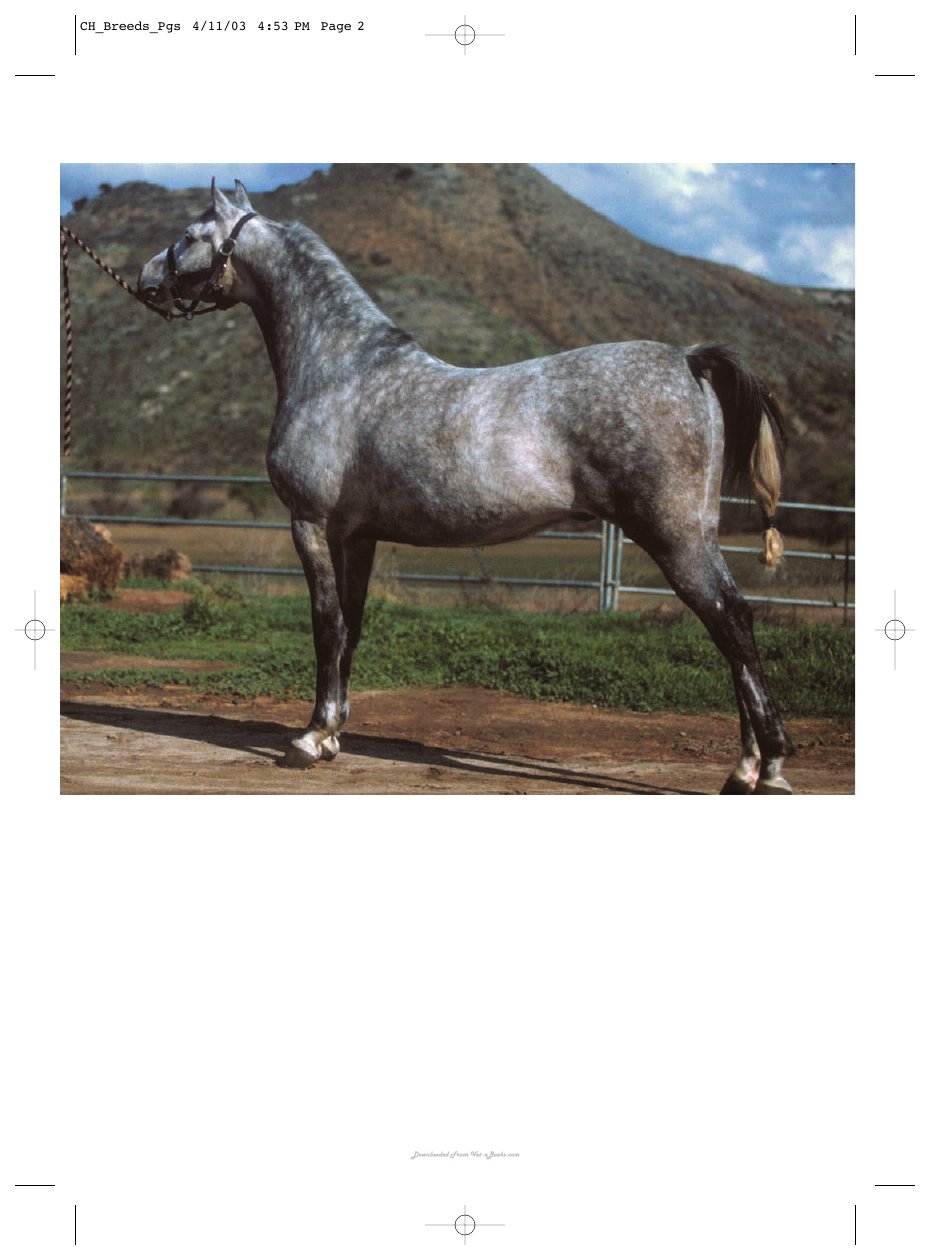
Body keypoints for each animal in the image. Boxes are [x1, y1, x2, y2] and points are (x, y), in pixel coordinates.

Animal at [139, 179, 794, 794]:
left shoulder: (312, 524)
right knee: (733, 625)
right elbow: (352, 627)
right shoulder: (358, 536)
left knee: (732, 624)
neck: (340, 371)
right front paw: (333, 736)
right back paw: (747, 769)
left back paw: (766, 767)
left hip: (675, 538)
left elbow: (326, 624)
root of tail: (688, 360)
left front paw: (310, 737)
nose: (146, 279)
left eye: (190, 235)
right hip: (696, 536)